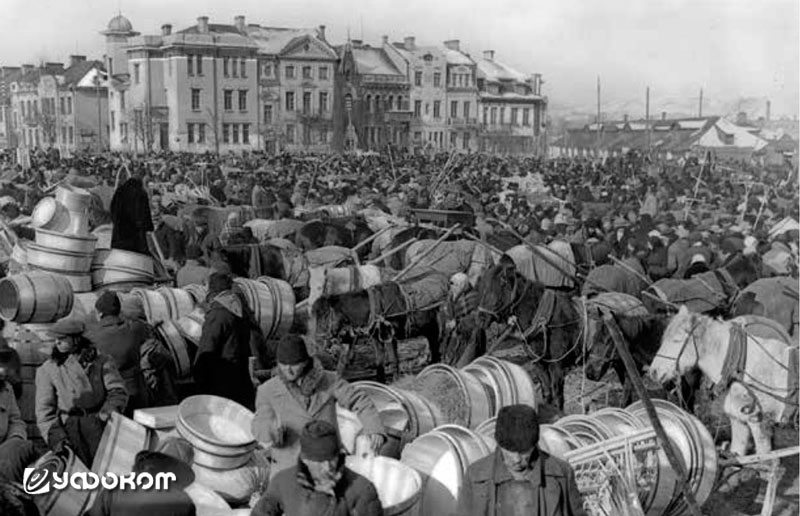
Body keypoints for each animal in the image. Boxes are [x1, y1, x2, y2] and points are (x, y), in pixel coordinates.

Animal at [476, 260, 580, 410]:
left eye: (497, 288)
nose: (480, 319)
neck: (543, 320)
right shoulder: (538, 364)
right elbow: (546, 392)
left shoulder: (557, 365)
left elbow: (557, 395)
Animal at [648, 306, 800, 456]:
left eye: (677, 340)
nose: (653, 371)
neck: (743, 366)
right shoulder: (738, 421)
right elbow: (737, 453)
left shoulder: (760, 424)